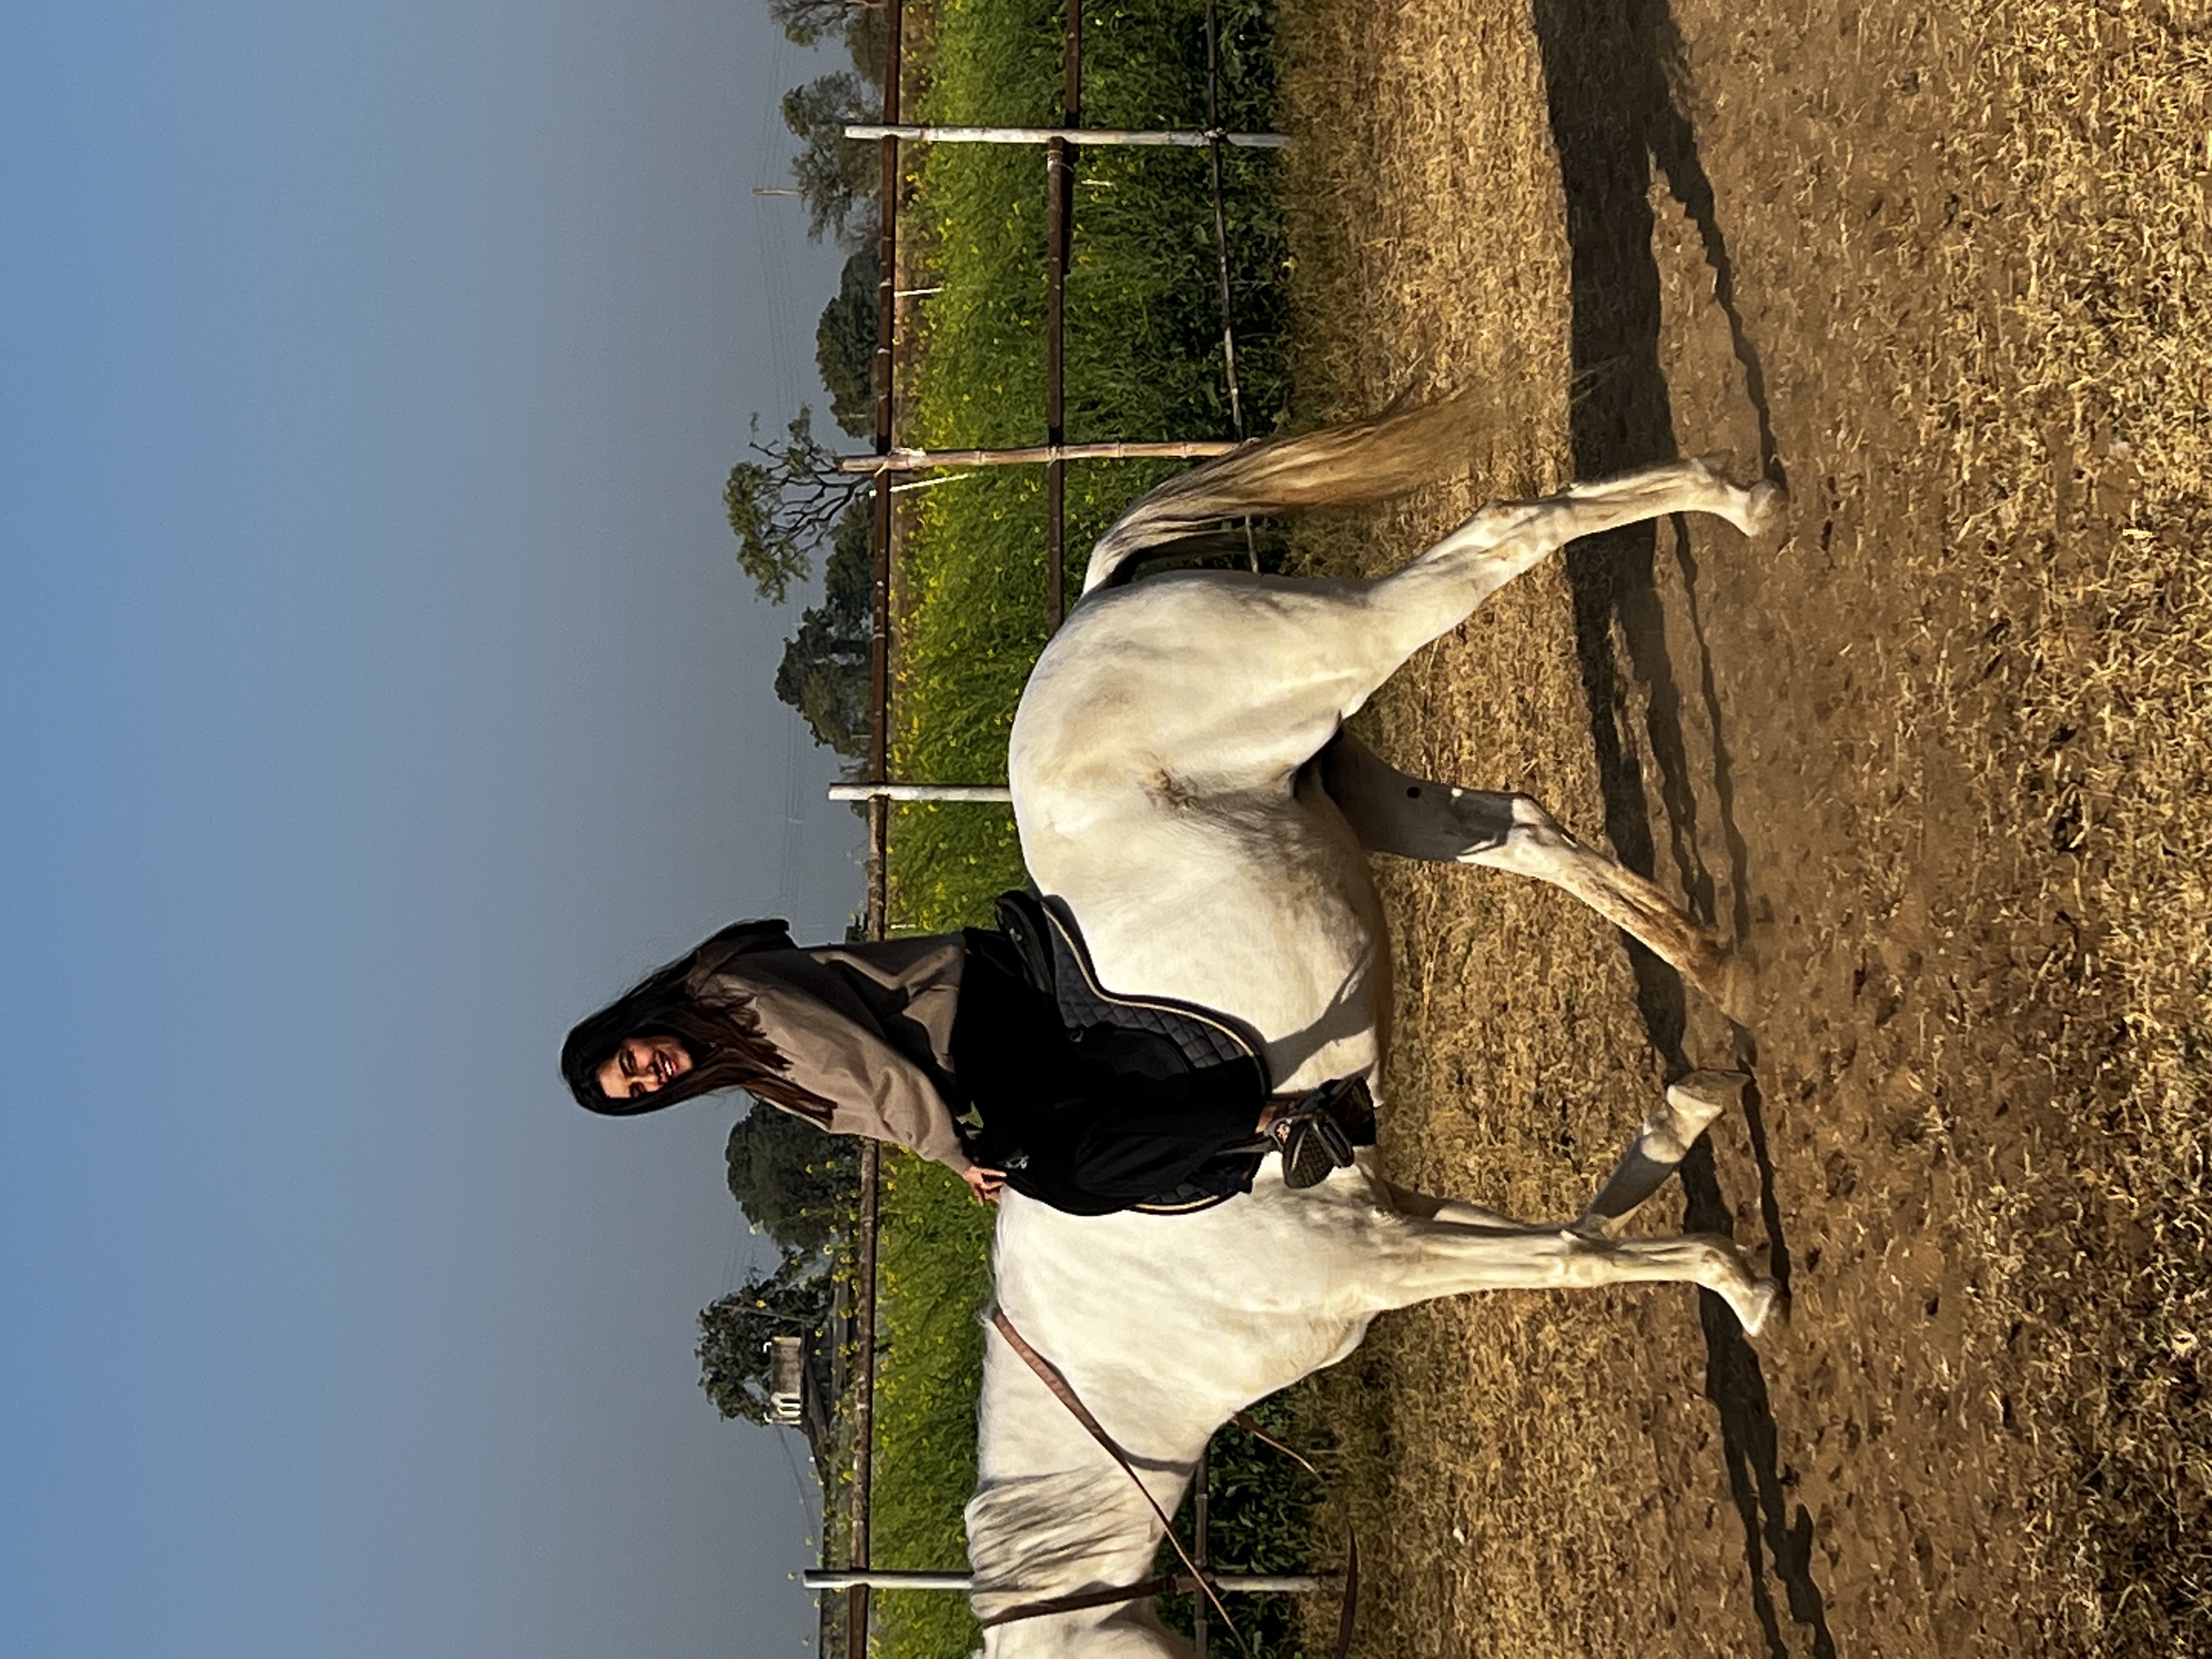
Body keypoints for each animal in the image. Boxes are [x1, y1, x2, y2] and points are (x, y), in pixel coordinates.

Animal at [971, 403, 1788, 1654]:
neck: (1129, 1339)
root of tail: (1093, 609)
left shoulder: (1384, 1256)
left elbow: (1571, 1259)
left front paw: (1744, 1286)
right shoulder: (1395, 1221)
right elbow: (1584, 1233)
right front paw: (1693, 1122)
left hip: (1348, 651)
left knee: (1501, 538)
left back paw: (1739, 501)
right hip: (1362, 791)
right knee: (1520, 832)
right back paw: (1714, 962)